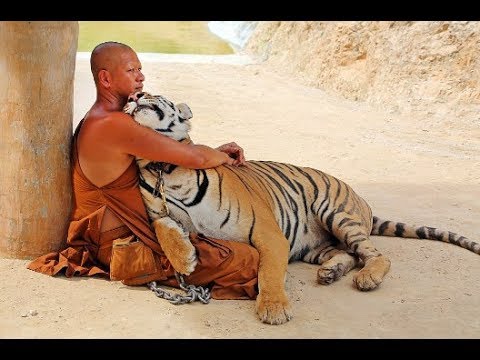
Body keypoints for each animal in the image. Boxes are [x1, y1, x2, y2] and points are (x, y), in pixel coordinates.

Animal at [124, 91, 480, 324]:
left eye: (154, 93)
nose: (137, 93)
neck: (162, 166)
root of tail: (361, 200)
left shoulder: (267, 231)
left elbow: (269, 271)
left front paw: (273, 309)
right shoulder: (158, 212)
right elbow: (163, 227)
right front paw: (185, 258)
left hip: (335, 213)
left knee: (374, 254)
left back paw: (367, 278)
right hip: (313, 246)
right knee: (348, 255)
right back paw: (330, 272)